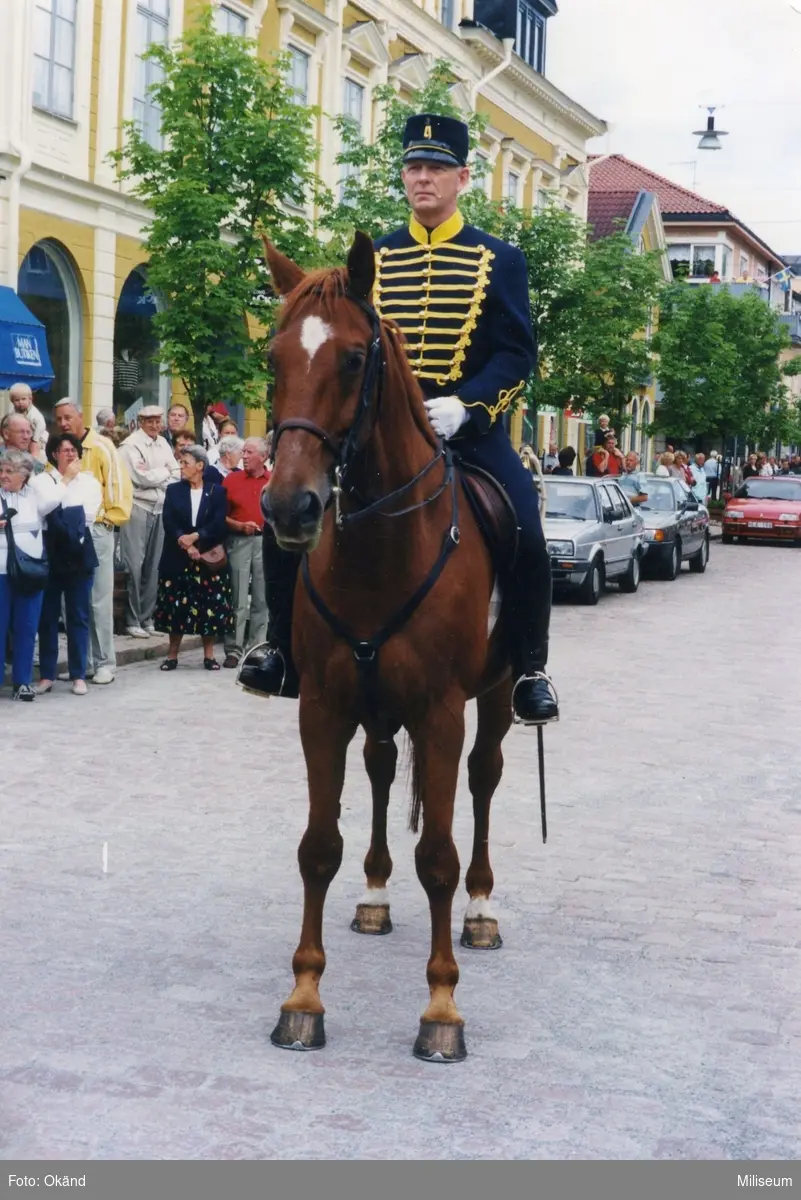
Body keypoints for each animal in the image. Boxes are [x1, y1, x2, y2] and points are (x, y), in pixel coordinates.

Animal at [260, 231, 515, 1060]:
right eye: (273, 357)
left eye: (350, 359)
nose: (289, 506)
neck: (380, 542)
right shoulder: (321, 705)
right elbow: (317, 845)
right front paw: (303, 996)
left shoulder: (441, 712)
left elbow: (437, 855)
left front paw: (440, 1009)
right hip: (372, 705)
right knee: (375, 770)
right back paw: (373, 893)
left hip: (497, 697)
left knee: (483, 782)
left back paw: (480, 909)